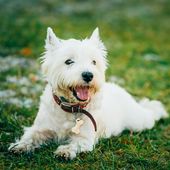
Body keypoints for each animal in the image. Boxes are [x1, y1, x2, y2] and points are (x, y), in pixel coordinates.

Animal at [8, 27, 169, 159]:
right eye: (68, 61)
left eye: (94, 62)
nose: (88, 75)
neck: (71, 107)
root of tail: (119, 89)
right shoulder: (41, 127)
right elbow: (30, 136)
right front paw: (20, 146)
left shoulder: (85, 137)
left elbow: (75, 144)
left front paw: (64, 151)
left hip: (137, 122)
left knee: (149, 114)